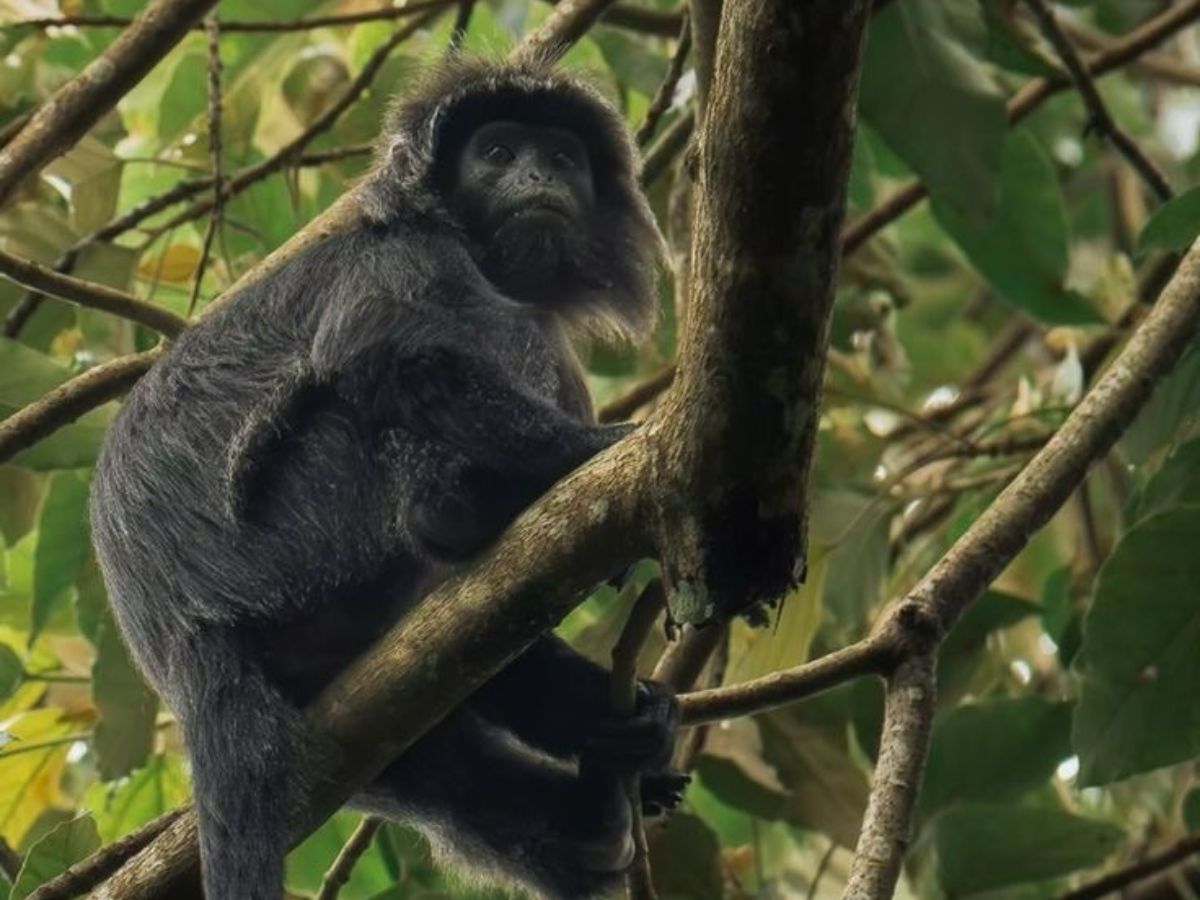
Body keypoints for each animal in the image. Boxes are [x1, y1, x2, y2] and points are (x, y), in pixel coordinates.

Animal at [88, 56, 686, 900]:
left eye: (561, 158)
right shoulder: (403, 255)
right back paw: (463, 509)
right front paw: (590, 449)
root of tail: (186, 635)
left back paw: (599, 767)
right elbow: (387, 352)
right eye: (497, 153)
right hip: (306, 526)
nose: (538, 173)